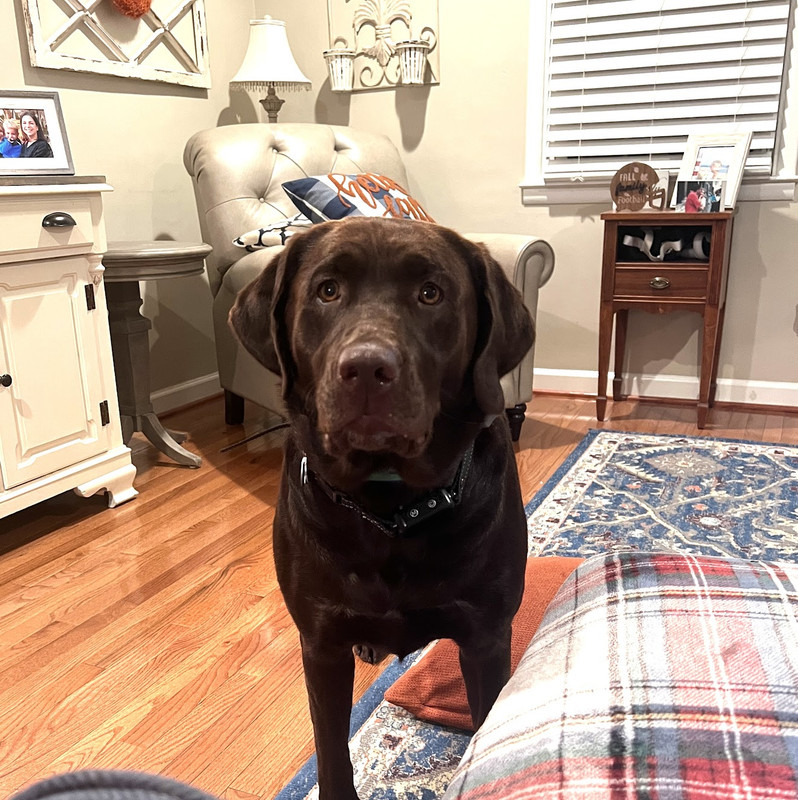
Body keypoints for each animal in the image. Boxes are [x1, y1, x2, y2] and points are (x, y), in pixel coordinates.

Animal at [230, 216, 534, 800]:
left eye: (431, 293)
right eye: (327, 290)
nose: (367, 368)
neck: (390, 507)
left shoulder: (486, 637)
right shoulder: (320, 642)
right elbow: (330, 748)